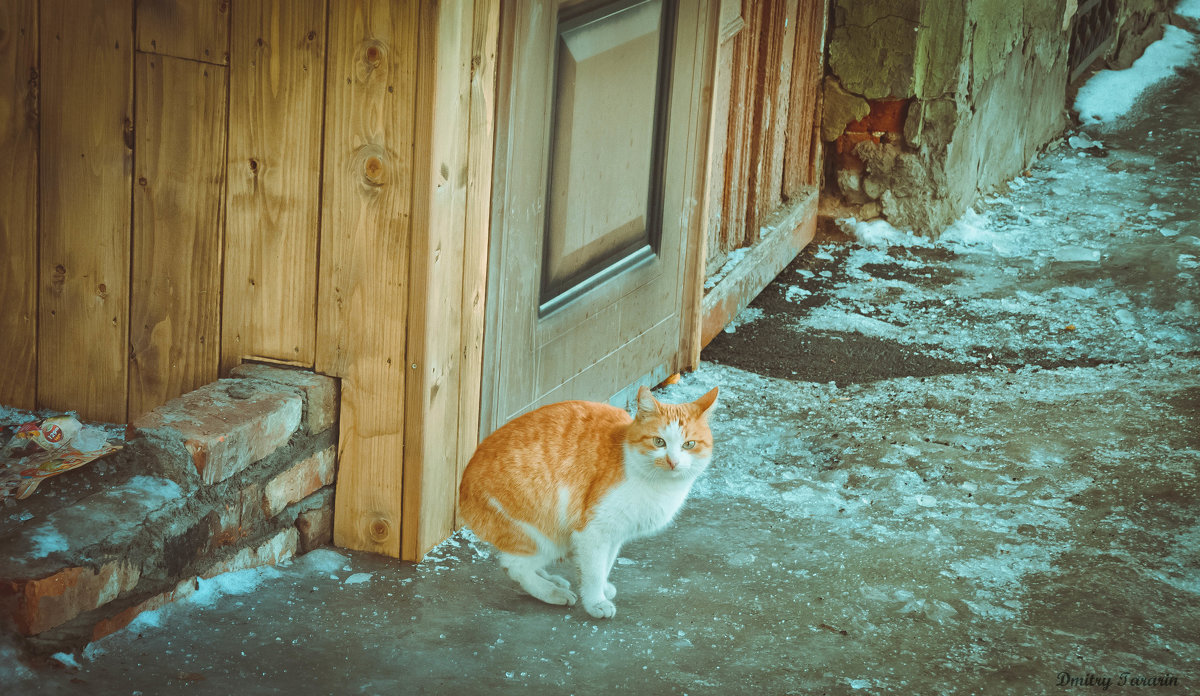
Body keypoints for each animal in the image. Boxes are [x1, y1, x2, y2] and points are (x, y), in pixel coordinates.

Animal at [458, 386, 720, 619]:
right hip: (547, 536)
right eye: (659, 442)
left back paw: (552, 579)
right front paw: (596, 602)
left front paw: (601, 588)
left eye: (688, 444)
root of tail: (463, 487)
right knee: (513, 565)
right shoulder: (594, 531)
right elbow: (594, 570)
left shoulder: (615, 534)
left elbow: (605, 564)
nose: (673, 462)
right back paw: (552, 592)